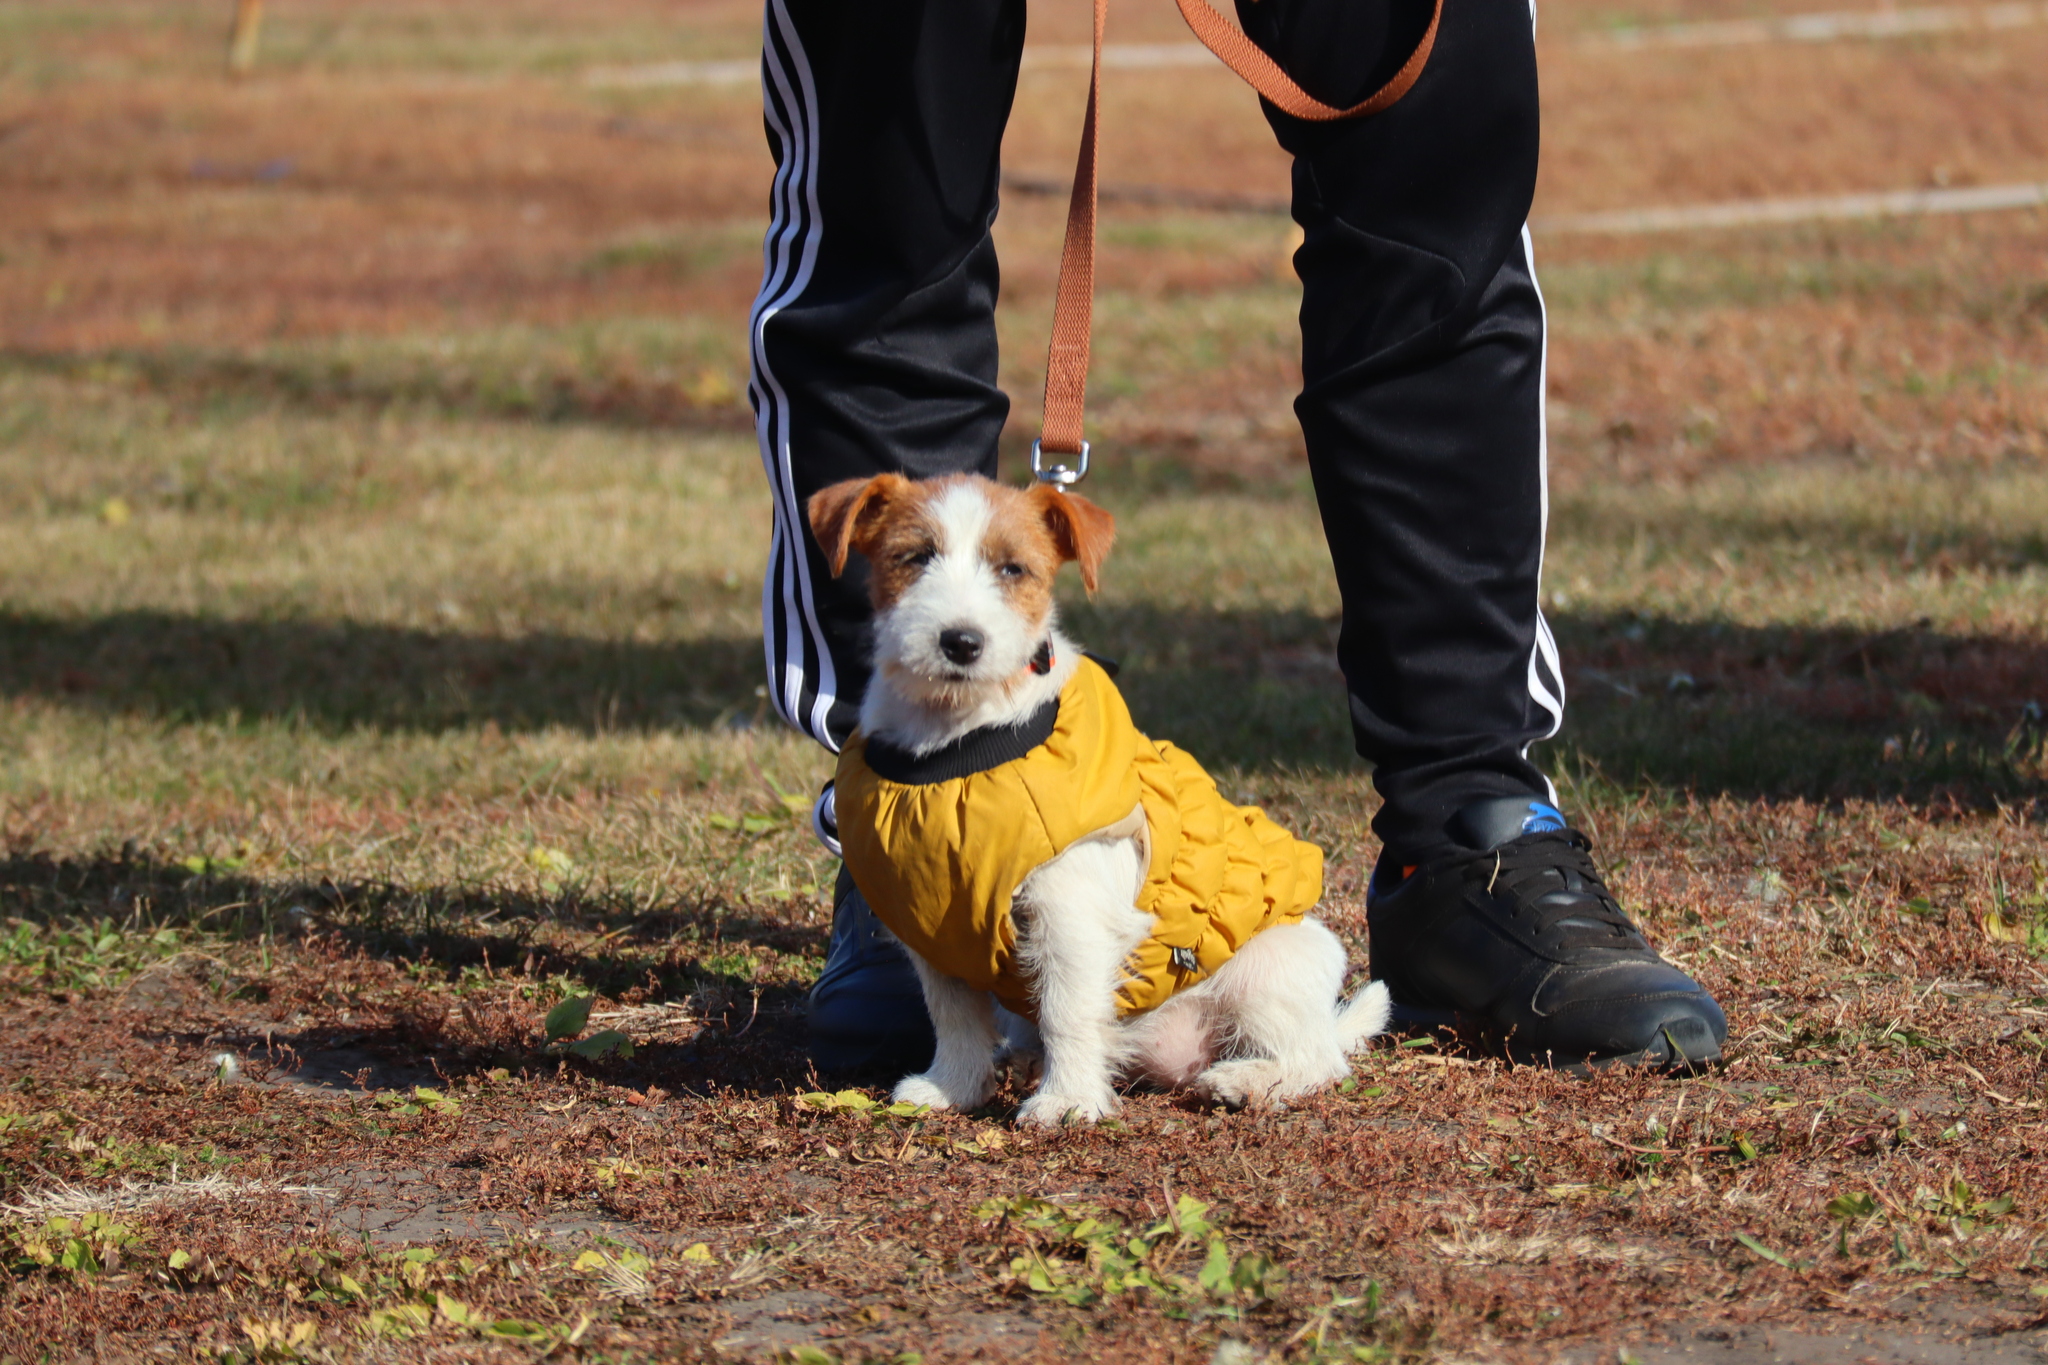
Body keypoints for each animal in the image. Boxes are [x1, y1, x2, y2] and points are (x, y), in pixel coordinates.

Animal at [806, 474, 1384, 1129]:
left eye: (1013, 568)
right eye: (913, 557)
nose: (960, 642)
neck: (956, 745)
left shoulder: (1067, 915)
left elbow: (1066, 1010)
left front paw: (1067, 1099)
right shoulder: (934, 922)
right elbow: (952, 1016)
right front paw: (953, 1086)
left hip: (1266, 969)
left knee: (1318, 1060)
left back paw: (1246, 1079)